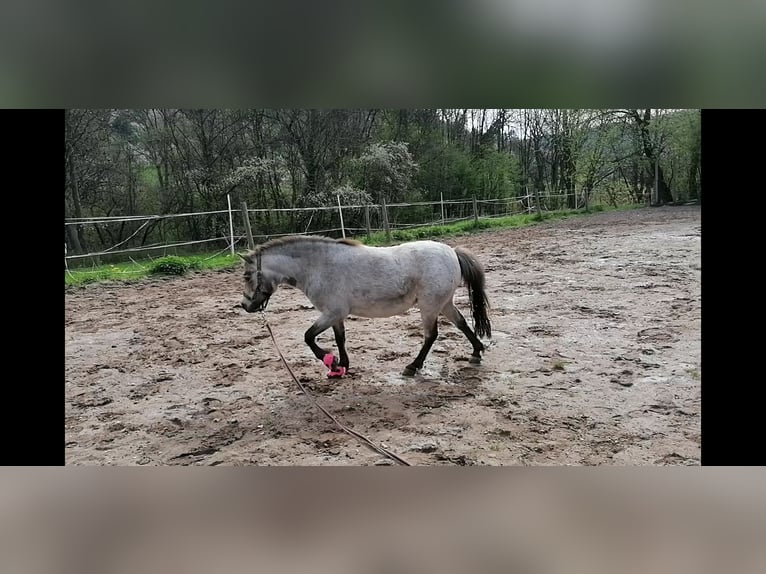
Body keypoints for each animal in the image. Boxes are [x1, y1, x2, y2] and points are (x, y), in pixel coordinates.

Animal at [240, 236, 492, 380]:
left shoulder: (331, 313)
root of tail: (452, 252)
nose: (244, 305)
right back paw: (476, 352)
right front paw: (341, 366)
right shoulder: (336, 315)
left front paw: (330, 361)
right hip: (444, 303)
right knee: (461, 323)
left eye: (247, 275)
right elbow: (340, 338)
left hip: (430, 306)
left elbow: (309, 337)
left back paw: (412, 367)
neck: (319, 266)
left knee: (431, 335)